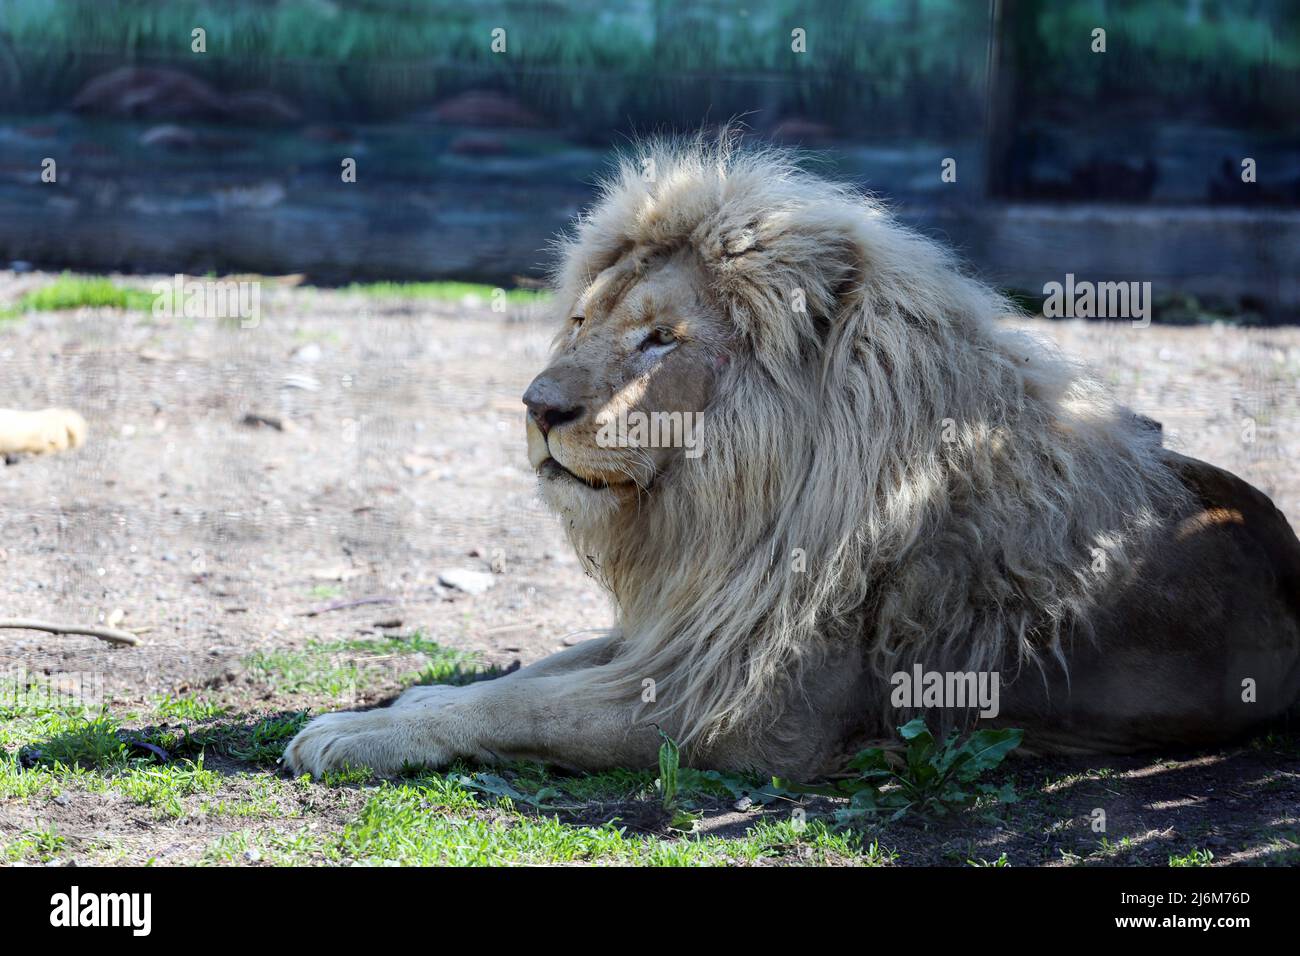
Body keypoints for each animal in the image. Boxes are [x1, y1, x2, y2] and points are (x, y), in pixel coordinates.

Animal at [282, 138, 1300, 780]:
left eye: (661, 339)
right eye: (582, 321)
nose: (537, 407)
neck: (726, 509)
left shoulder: (746, 716)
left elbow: (527, 710)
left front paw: (351, 735)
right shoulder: (692, 626)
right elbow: (530, 674)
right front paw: (406, 702)